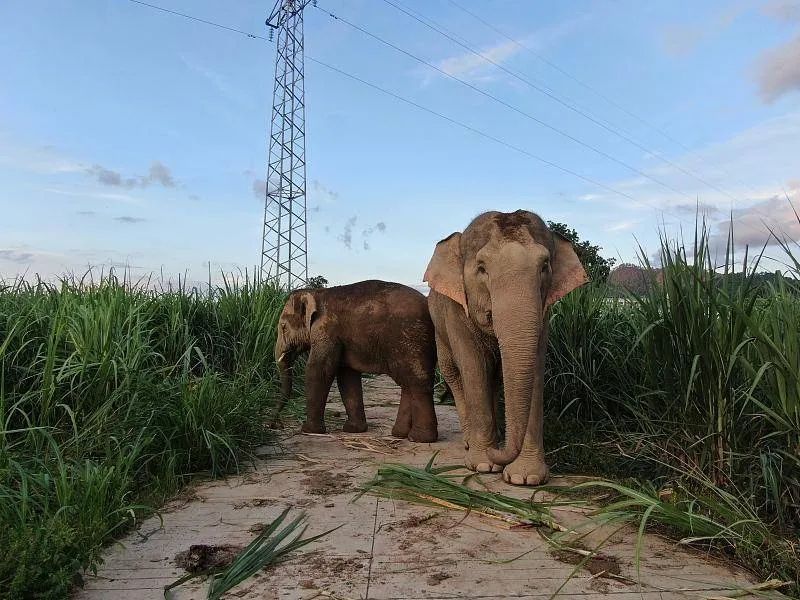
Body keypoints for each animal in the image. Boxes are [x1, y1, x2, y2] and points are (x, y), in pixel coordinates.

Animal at [274, 280, 438, 440]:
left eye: (283, 327)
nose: (275, 424)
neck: (316, 293)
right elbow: (347, 376)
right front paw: (353, 430)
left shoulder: (326, 329)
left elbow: (318, 370)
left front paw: (309, 430)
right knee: (407, 382)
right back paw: (400, 434)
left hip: (411, 339)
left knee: (417, 382)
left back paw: (419, 438)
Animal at [424, 210, 588, 482]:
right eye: (481, 268)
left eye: (545, 266)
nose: (496, 452)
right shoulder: (455, 311)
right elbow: (473, 367)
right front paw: (483, 465)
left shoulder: (543, 313)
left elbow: (535, 368)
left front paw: (525, 478)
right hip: (438, 330)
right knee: (454, 374)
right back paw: (470, 442)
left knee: (494, 378)